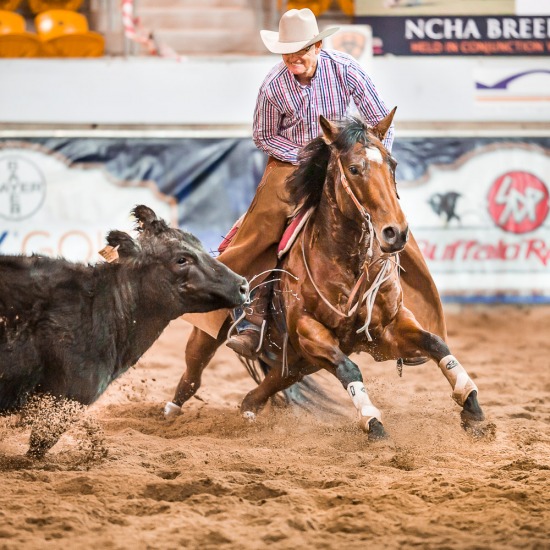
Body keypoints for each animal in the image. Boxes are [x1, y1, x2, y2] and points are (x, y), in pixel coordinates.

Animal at [167, 110, 492, 442]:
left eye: (393, 164)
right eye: (354, 168)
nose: (395, 232)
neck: (347, 261)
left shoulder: (387, 328)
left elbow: (436, 344)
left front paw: (472, 408)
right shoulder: (308, 329)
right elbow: (349, 369)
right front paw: (373, 422)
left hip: (298, 362)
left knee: (264, 388)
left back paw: (247, 413)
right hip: (220, 333)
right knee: (193, 371)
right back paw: (169, 414)